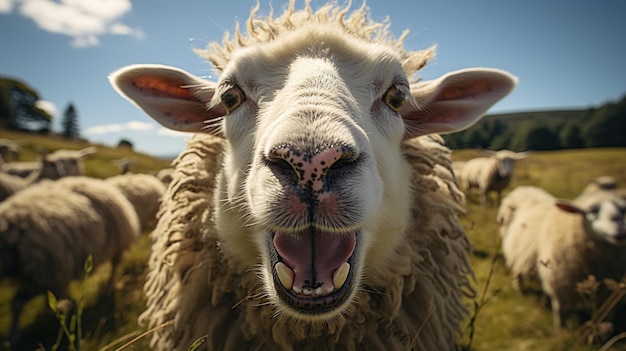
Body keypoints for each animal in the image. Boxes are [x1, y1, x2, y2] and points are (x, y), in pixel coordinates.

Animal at [0, 176, 140, 350]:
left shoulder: (48, 276)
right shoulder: (38, 278)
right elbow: (16, 304)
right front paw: (13, 338)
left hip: (117, 245)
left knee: (114, 267)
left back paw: (108, 288)